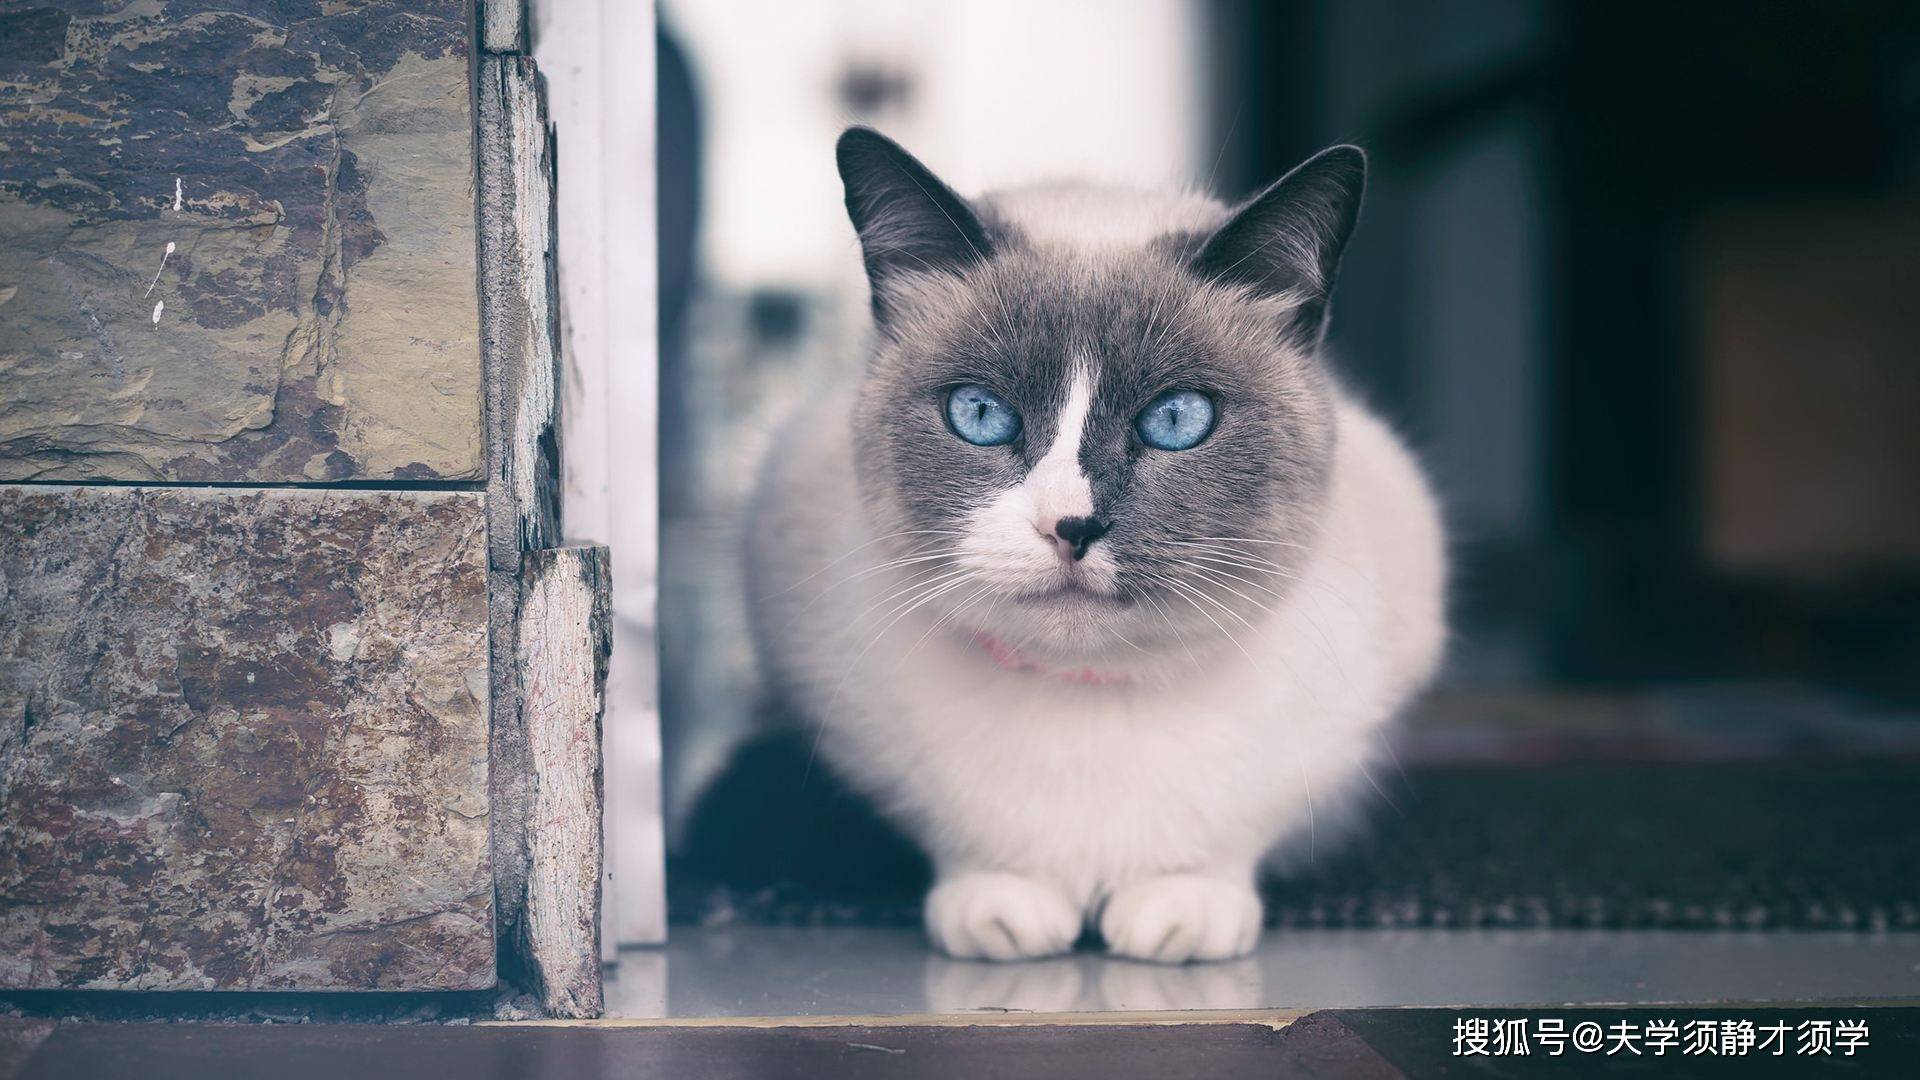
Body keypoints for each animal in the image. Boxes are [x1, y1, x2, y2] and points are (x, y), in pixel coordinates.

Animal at [744, 125, 1443, 957]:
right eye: (980, 414)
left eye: (1176, 420)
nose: (1070, 526)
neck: (1090, 696)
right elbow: (969, 850)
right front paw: (1003, 910)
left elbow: (1224, 849)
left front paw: (1182, 912)